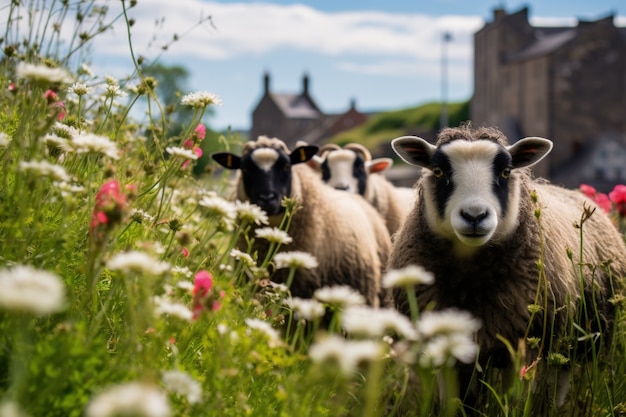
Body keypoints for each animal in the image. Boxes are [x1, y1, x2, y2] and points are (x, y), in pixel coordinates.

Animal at [386, 125, 624, 412]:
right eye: (438, 171)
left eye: (506, 172)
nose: (475, 216)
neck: (471, 282)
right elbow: (455, 402)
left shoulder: (525, 345)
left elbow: (514, 401)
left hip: (571, 340)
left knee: (558, 382)